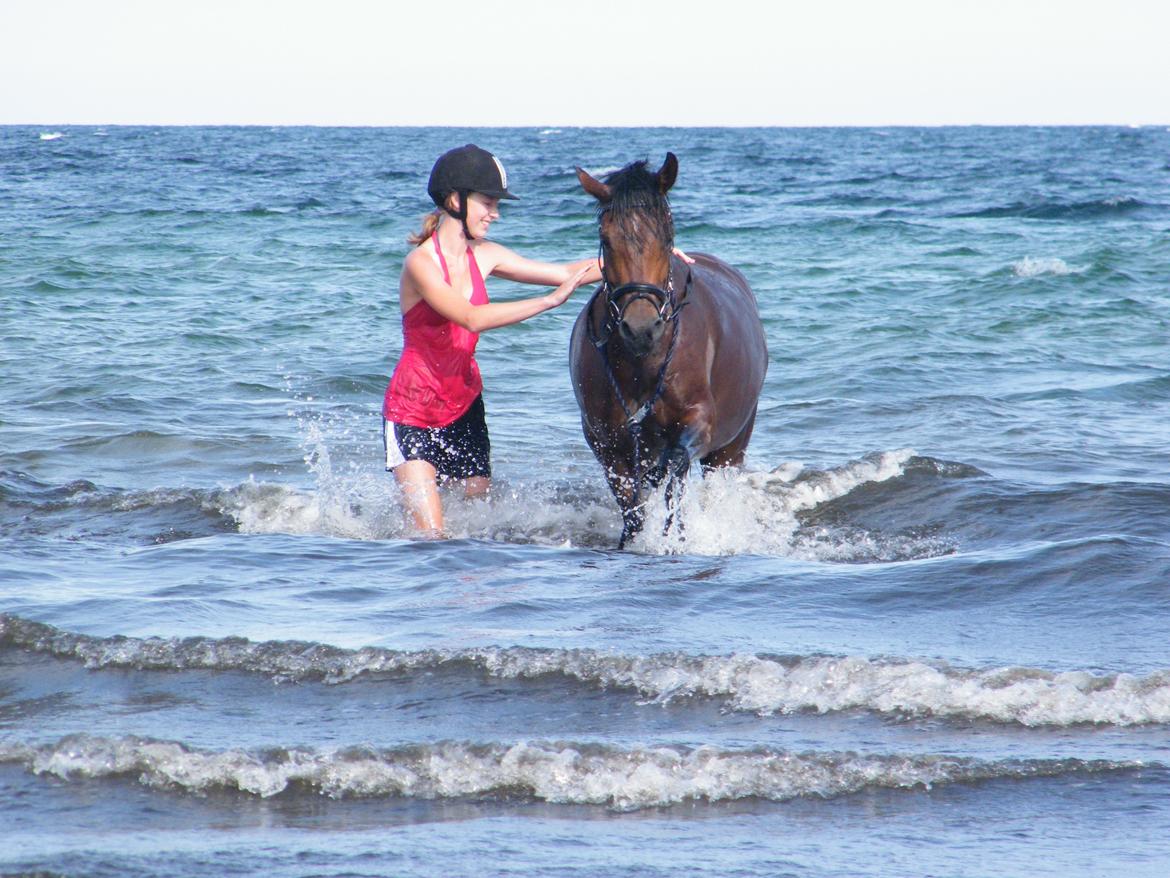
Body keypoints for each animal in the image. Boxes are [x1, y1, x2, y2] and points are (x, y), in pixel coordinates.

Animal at [566, 153, 767, 550]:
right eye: (605, 239)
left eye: (667, 235)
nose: (641, 328)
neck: (642, 362)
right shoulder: (607, 444)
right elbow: (633, 510)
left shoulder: (699, 423)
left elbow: (674, 465)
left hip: (732, 447)